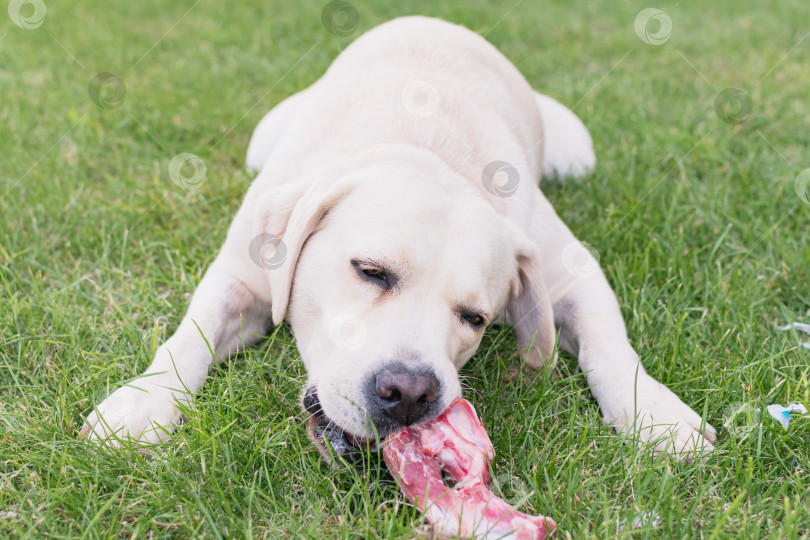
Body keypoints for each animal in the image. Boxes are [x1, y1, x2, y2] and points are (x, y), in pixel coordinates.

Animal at [80, 16, 712, 460]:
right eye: (370, 271)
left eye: (476, 318)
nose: (409, 393)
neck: (424, 147)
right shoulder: (243, 274)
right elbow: (191, 333)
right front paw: (143, 403)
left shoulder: (573, 272)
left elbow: (610, 344)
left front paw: (655, 414)